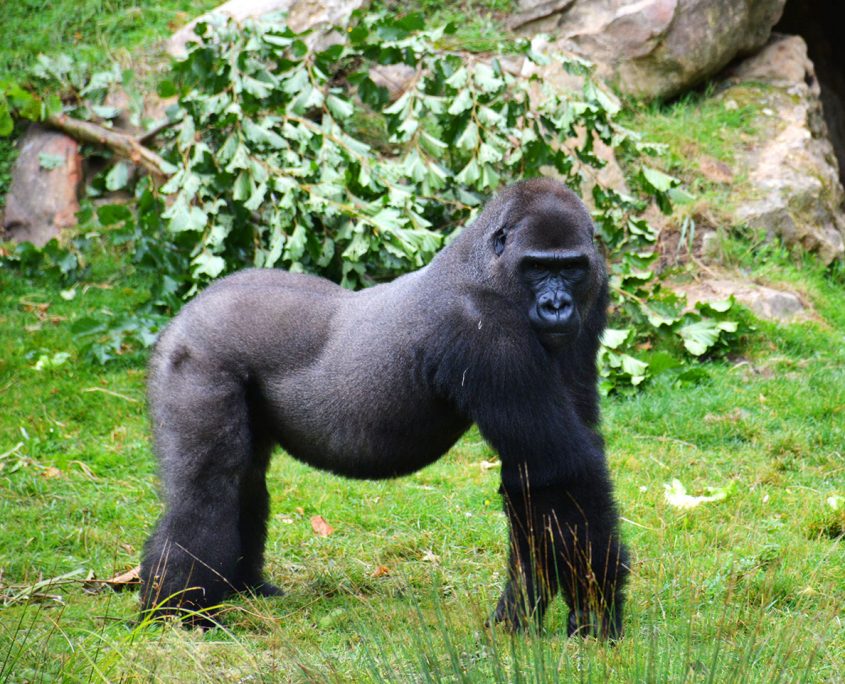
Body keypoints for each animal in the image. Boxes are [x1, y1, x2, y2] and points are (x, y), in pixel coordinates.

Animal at [140, 176, 628, 636]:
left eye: (571, 268)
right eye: (537, 267)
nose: (556, 305)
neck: (486, 265)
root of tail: (190, 309)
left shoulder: (594, 295)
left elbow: (539, 476)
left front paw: (522, 615)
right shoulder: (484, 328)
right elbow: (559, 468)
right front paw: (596, 612)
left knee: (245, 479)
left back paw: (243, 588)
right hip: (199, 356)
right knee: (207, 489)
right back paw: (178, 610)